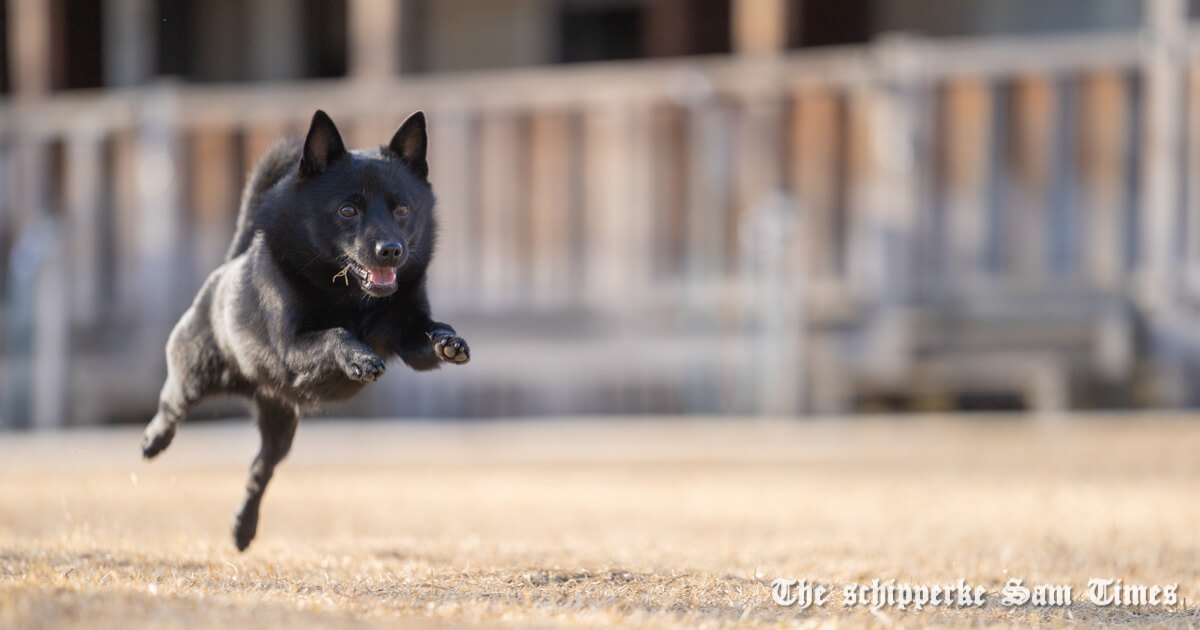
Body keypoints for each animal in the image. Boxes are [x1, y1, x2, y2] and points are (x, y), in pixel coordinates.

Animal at [136, 109, 463, 549]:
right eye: (347, 210)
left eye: (402, 209)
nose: (391, 250)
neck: (352, 298)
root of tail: (226, 267)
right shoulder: (291, 347)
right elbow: (335, 334)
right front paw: (360, 358)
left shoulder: (409, 339)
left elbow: (428, 334)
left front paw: (449, 341)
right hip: (194, 377)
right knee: (170, 406)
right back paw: (152, 442)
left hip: (280, 426)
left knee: (260, 470)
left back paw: (243, 529)